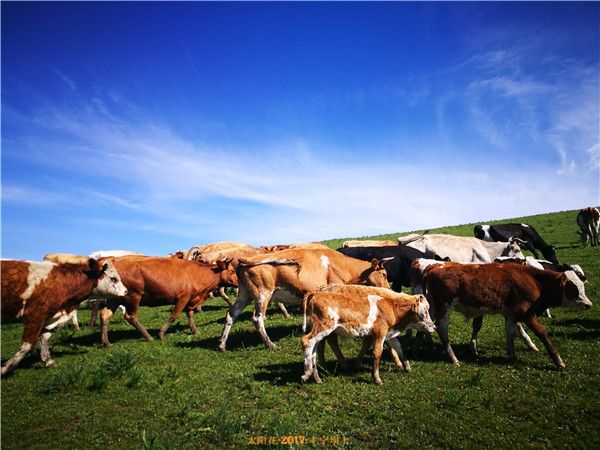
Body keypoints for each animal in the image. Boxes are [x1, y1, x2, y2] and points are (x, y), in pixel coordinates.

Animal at [99, 255, 237, 346]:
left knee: (105, 315)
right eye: (232, 271)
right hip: (133, 296)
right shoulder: (183, 297)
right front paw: (161, 333)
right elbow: (174, 315)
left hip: (114, 298)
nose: (237, 282)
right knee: (130, 316)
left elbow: (190, 314)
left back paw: (106, 342)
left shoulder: (191, 299)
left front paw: (195, 330)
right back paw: (148, 337)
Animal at [218, 248, 392, 350]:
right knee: (257, 318)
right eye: (384, 274)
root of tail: (245, 260)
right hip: (262, 294)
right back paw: (270, 344)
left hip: (244, 294)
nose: (389, 289)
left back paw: (221, 345)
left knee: (231, 314)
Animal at [300, 286, 436, 384]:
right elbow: (377, 353)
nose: (434, 327)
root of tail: (317, 293)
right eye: (424, 313)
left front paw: (406, 366)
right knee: (307, 341)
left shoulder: (388, 333)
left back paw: (317, 377)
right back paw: (306, 374)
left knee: (314, 349)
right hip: (324, 327)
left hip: (321, 331)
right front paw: (377, 379)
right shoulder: (379, 334)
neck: (391, 307)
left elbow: (398, 347)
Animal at [424, 262, 592, 368]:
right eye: (572, 288)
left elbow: (510, 333)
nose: (589, 304)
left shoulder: (511, 314)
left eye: (582, 286)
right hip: (445, 307)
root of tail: (436, 266)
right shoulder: (527, 313)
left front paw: (512, 356)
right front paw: (558, 360)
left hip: (433, 307)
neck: (532, 280)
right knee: (442, 328)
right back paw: (453, 358)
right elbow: (542, 332)